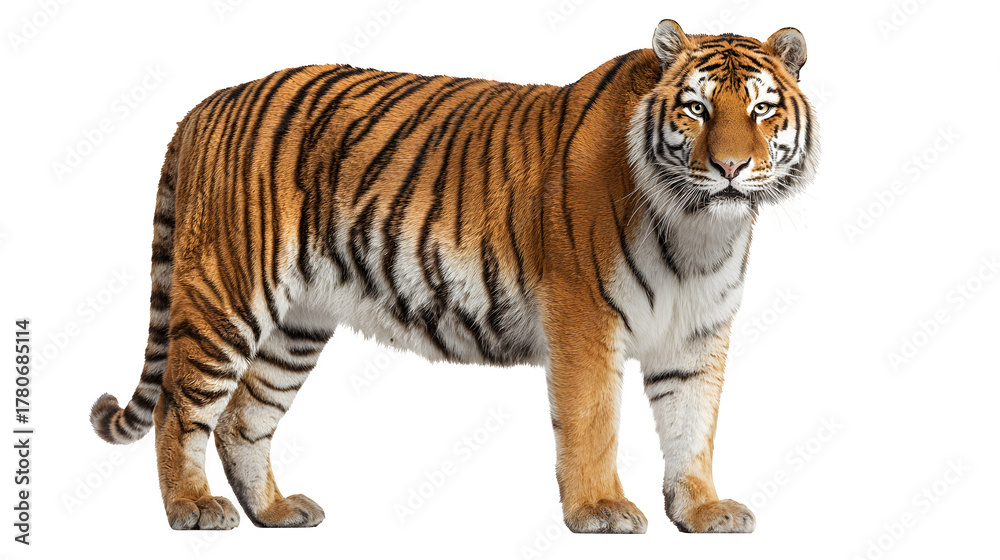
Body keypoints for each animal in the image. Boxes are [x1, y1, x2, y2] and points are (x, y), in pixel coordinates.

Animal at [90, 19, 818, 533]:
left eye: (760, 110)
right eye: (696, 109)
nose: (730, 167)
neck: (700, 230)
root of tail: (205, 105)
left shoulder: (697, 337)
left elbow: (694, 429)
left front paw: (702, 512)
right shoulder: (584, 319)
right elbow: (592, 422)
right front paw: (600, 510)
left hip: (298, 322)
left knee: (244, 416)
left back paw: (275, 512)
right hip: (228, 293)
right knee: (182, 406)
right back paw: (192, 508)